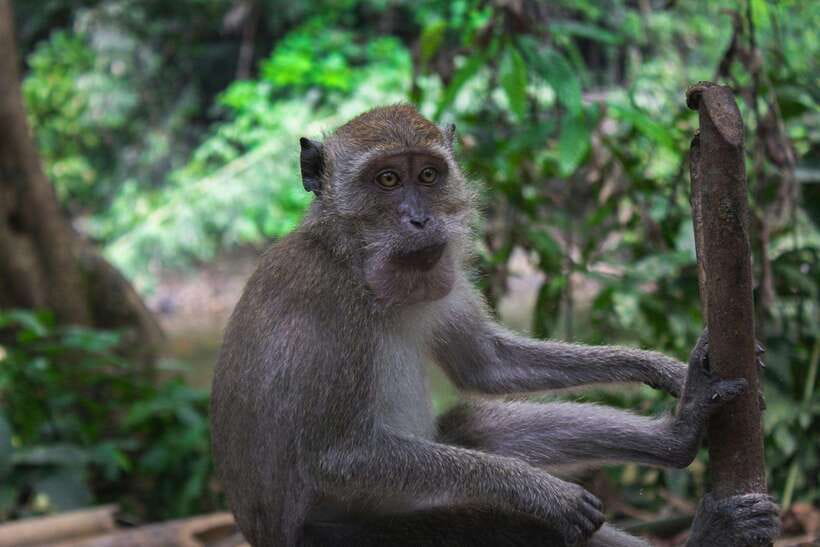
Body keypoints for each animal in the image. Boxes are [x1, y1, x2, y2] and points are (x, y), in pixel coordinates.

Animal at [210, 104, 781, 546]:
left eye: (428, 176)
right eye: (387, 180)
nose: (420, 220)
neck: (356, 263)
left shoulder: (442, 276)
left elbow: (487, 366)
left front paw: (662, 369)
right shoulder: (327, 306)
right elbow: (339, 455)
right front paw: (538, 491)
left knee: (476, 426)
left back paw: (680, 435)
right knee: (510, 527)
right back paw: (706, 532)